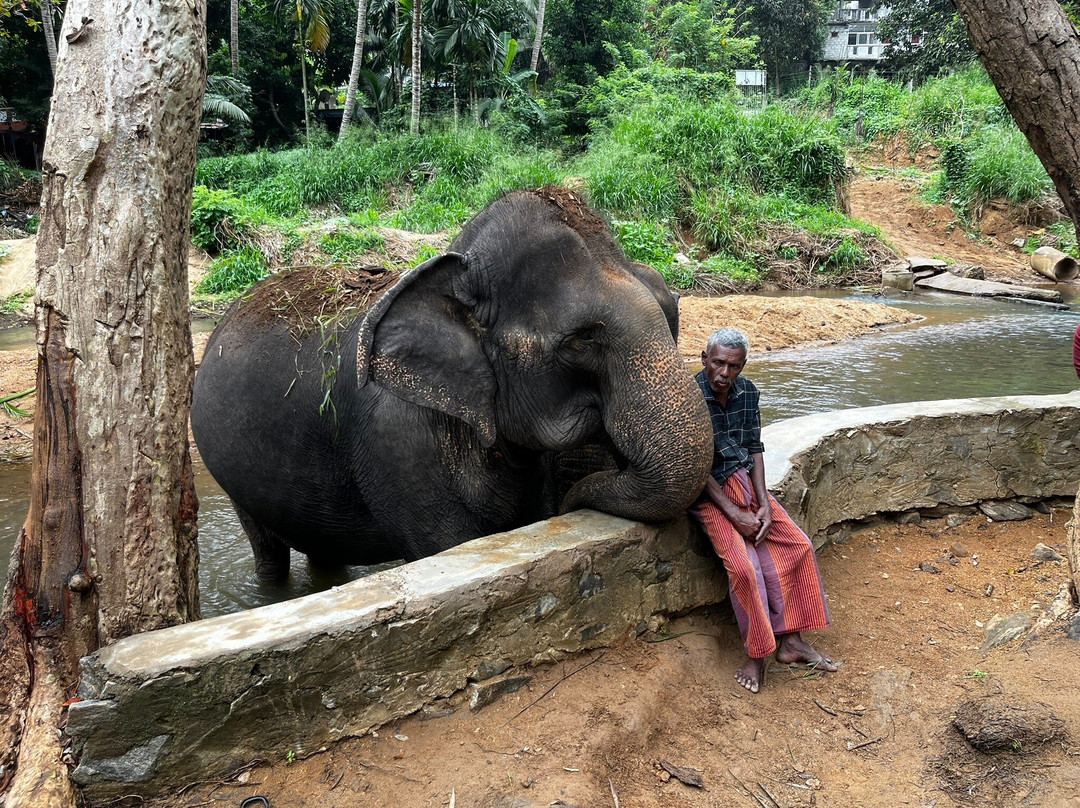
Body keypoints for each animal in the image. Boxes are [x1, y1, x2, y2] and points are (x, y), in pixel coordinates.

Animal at [191, 187, 713, 579]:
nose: (573, 500)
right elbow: (446, 545)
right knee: (268, 551)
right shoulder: (397, 442)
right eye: (580, 340)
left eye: (671, 312)